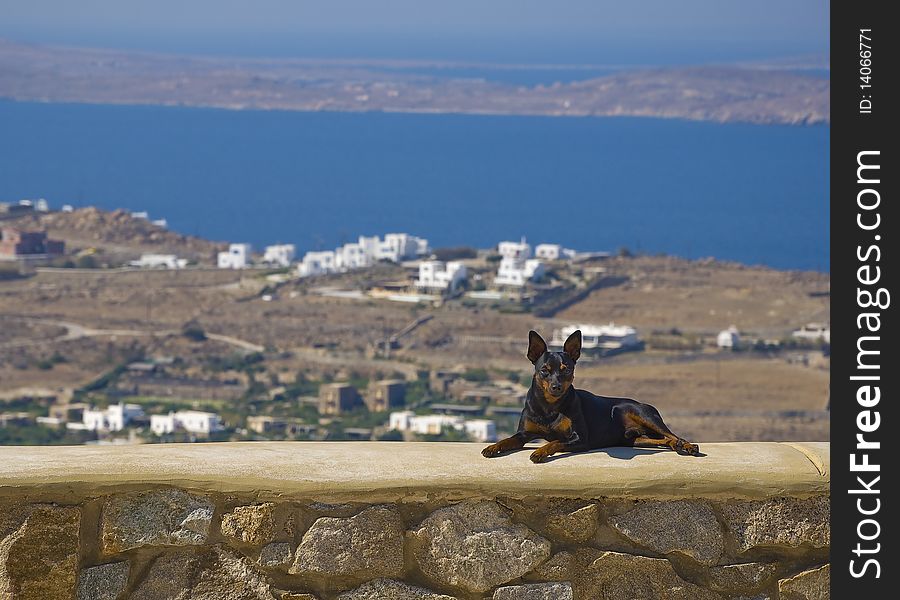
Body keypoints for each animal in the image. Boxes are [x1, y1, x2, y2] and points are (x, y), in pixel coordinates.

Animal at [482, 328, 700, 464]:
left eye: (567, 370)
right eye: (544, 370)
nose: (556, 387)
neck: (549, 406)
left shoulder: (579, 439)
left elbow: (554, 442)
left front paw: (540, 451)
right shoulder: (523, 434)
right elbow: (507, 440)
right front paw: (492, 447)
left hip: (643, 414)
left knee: (672, 434)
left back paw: (687, 445)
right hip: (635, 440)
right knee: (663, 440)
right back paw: (675, 445)